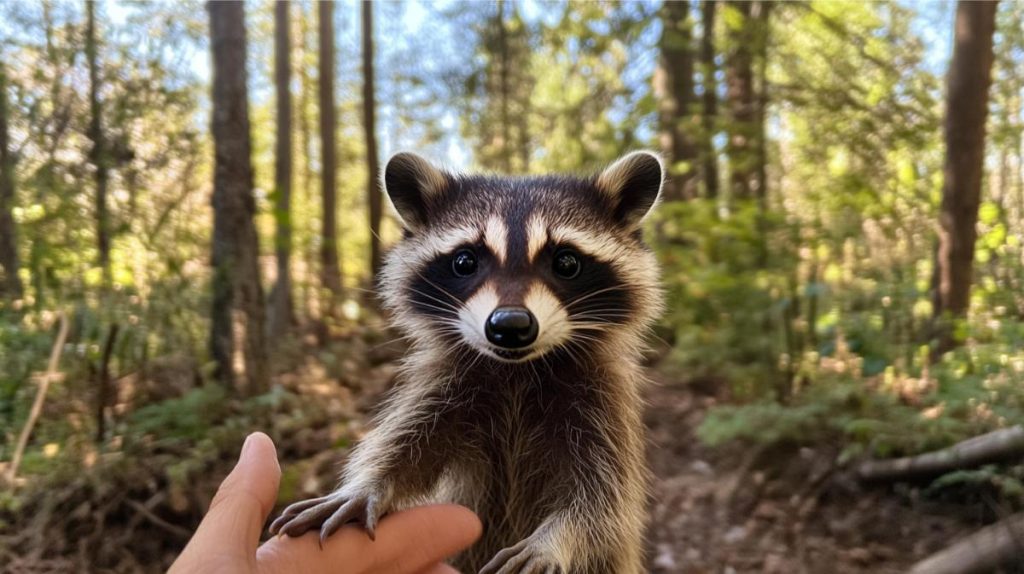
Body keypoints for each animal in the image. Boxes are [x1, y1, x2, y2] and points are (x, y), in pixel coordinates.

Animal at [268, 150, 663, 568]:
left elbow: (604, 502)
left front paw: (557, 539)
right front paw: (366, 487)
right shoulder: (446, 387)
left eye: (567, 263)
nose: (510, 325)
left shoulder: (602, 408)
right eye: (464, 262)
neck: (518, 371)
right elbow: (406, 446)